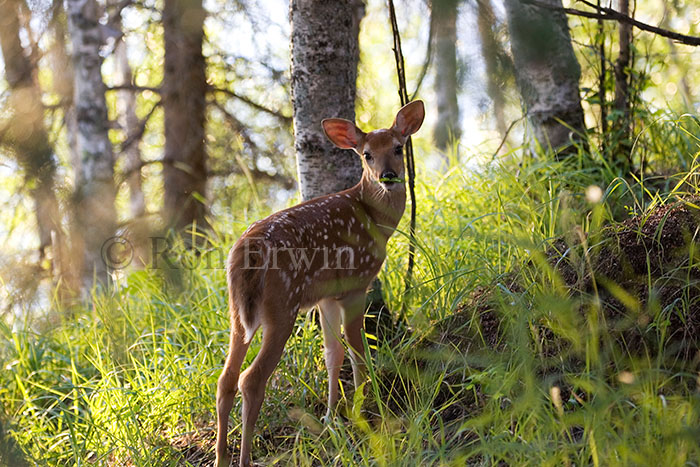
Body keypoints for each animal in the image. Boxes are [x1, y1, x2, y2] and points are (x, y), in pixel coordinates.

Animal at [215, 100, 425, 467]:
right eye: (367, 154)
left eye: (398, 148)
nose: (387, 176)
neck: (374, 218)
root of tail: (247, 254)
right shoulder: (355, 286)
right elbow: (357, 351)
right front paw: (364, 411)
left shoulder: (327, 296)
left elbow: (332, 353)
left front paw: (330, 418)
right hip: (282, 306)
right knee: (250, 379)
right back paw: (245, 459)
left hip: (237, 313)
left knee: (225, 379)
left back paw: (221, 457)